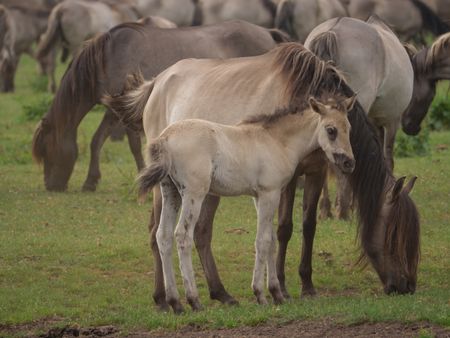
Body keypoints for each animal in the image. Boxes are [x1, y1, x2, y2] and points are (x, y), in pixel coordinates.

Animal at [32, 19, 292, 191]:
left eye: (46, 151)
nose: (51, 186)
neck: (107, 57)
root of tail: (268, 31)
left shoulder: (123, 109)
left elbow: (132, 144)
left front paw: (140, 173)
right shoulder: (115, 109)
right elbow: (98, 141)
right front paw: (90, 180)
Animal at [130, 95, 356, 312]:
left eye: (349, 128)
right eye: (331, 130)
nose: (349, 163)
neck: (276, 140)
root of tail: (166, 137)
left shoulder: (260, 197)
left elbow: (271, 240)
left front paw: (277, 293)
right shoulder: (270, 194)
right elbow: (262, 240)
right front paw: (260, 294)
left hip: (170, 192)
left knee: (163, 236)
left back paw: (175, 302)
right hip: (194, 194)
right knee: (182, 236)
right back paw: (194, 300)